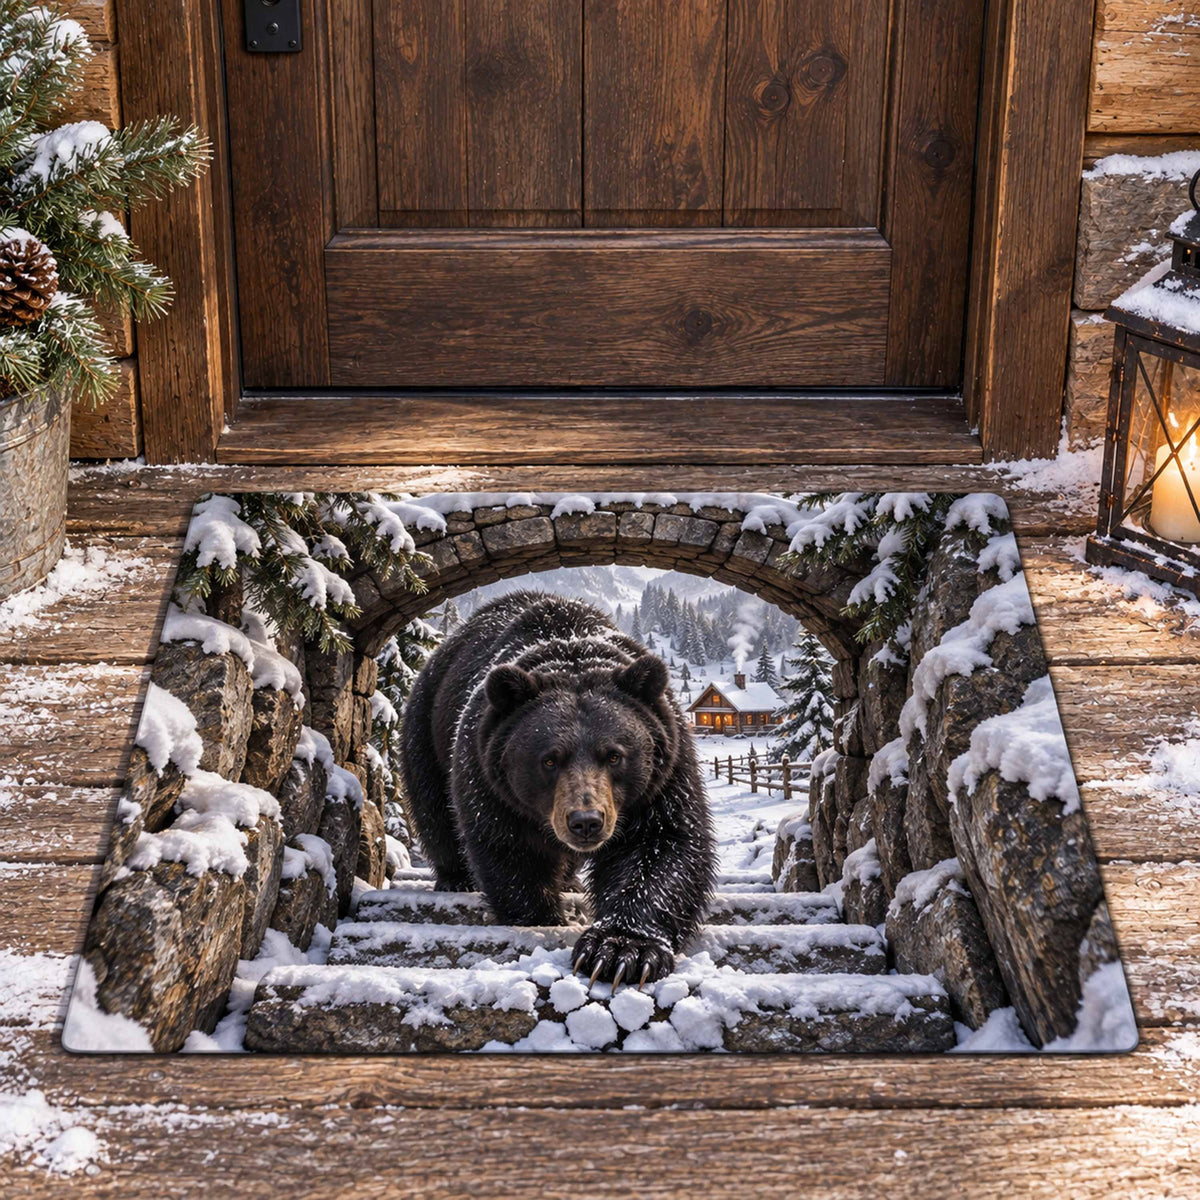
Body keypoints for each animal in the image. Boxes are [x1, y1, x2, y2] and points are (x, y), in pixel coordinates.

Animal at [399, 591, 716, 986]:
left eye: (614, 755)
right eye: (549, 760)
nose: (586, 821)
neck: (570, 649)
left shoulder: (664, 768)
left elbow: (662, 844)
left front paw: (621, 951)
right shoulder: (488, 774)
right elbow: (510, 851)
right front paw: (545, 916)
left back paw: (570, 884)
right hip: (427, 726)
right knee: (434, 808)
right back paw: (456, 878)